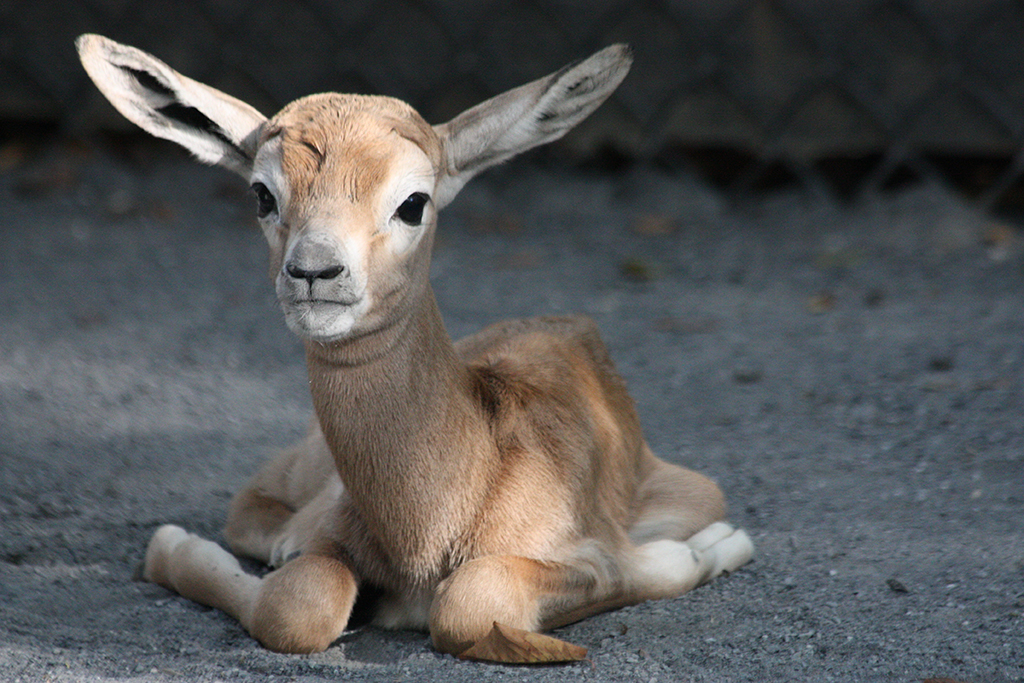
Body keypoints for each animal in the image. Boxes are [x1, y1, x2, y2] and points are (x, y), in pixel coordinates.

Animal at [77, 36, 753, 655]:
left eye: (412, 202)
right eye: (263, 193)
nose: (314, 271)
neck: (436, 523)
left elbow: (476, 600)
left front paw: (712, 547)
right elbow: (297, 604)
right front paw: (174, 544)